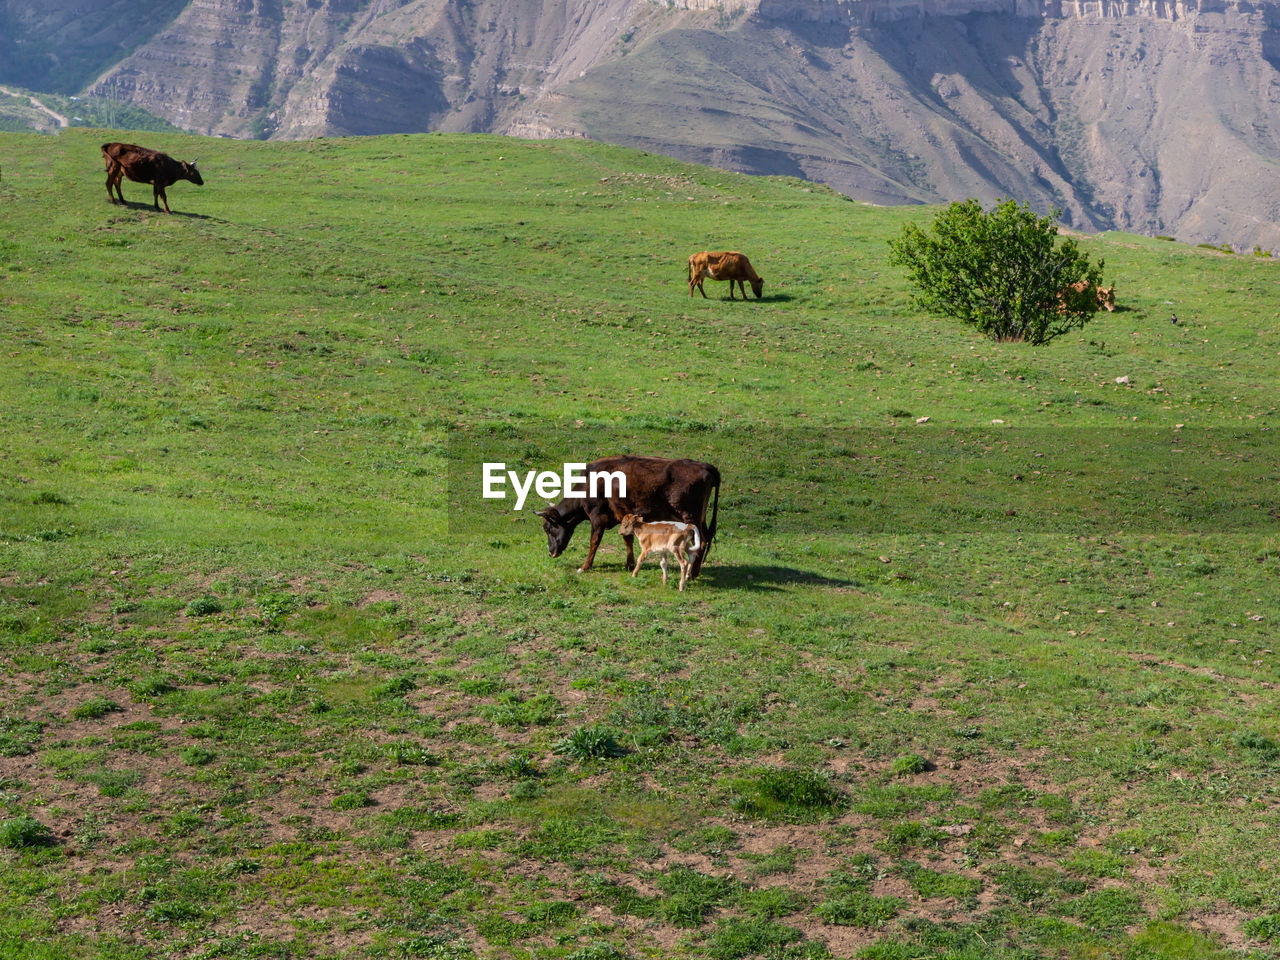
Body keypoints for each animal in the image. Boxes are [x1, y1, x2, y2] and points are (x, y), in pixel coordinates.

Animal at [535, 458, 721, 578]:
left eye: (549, 528)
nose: (551, 552)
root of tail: (706, 466)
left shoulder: (597, 517)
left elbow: (594, 542)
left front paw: (585, 567)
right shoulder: (623, 515)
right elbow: (628, 540)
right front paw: (629, 564)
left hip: (690, 517)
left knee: (701, 541)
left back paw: (691, 574)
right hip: (700, 518)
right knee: (705, 540)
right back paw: (695, 571)